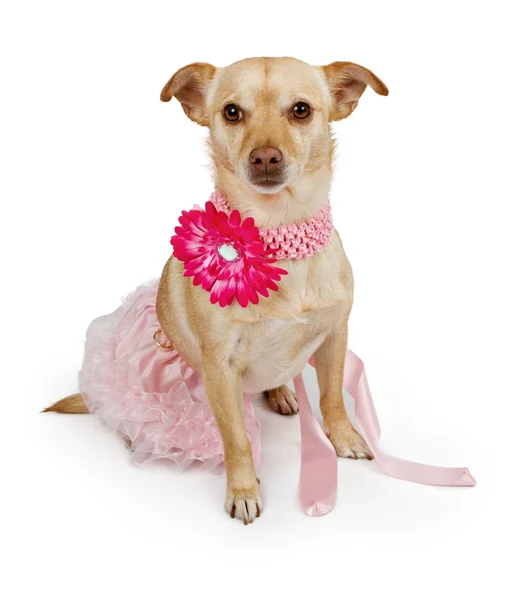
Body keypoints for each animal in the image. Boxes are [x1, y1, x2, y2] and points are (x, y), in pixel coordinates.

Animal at [46, 57, 390, 524]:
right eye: (231, 112)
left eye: (301, 110)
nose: (265, 156)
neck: (279, 234)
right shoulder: (220, 368)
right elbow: (236, 438)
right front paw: (243, 490)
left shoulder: (335, 336)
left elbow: (333, 396)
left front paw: (345, 437)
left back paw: (281, 392)